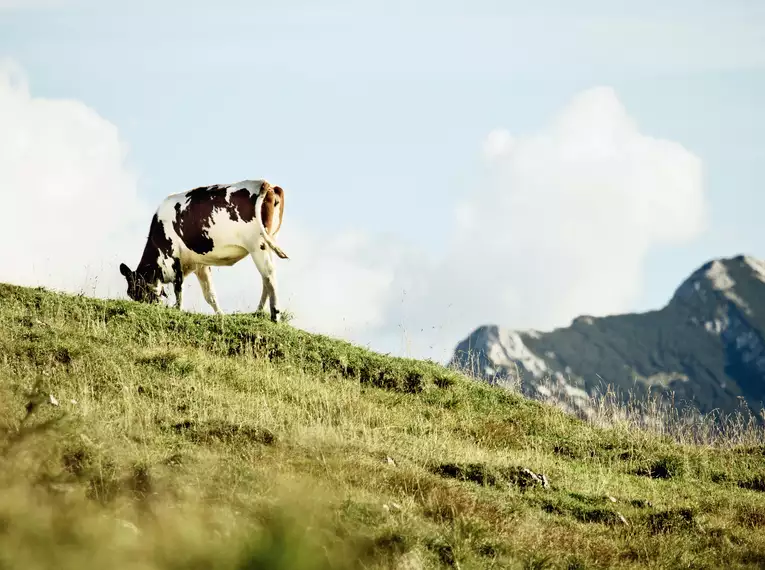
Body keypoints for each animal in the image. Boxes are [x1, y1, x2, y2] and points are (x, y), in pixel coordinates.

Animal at [119, 178, 286, 320]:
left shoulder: (174, 258)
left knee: (269, 274)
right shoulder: (200, 265)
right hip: (270, 241)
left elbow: (178, 289)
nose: (149, 308)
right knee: (265, 278)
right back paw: (258, 311)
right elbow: (210, 294)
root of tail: (265, 183)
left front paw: (177, 311)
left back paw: (275, 315)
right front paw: (221, 316)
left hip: (257, 244)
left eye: (136, 291)